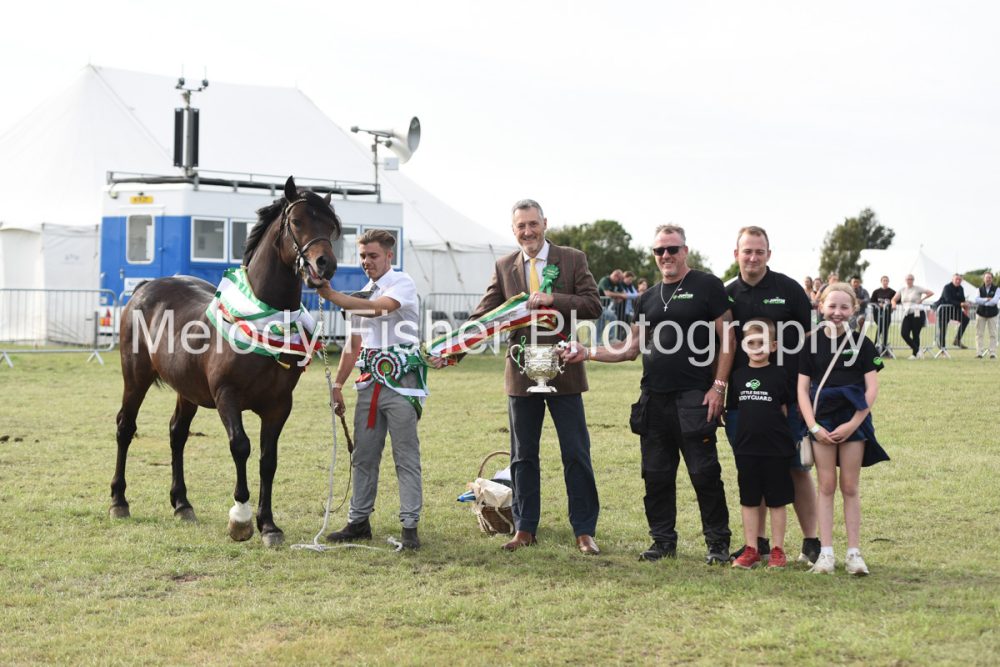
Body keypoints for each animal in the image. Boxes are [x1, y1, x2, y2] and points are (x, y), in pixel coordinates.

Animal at [110, 176, 340, 547]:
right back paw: (119, 501)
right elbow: (240, 446)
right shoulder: (226, 397)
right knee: (125, 427)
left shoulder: (279, 405)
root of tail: (144, 289)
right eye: (296, 222)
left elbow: (268, 459)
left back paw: (182, 503)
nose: (325, 265)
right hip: (135, 378)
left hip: (187, 391)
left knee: (177, 434)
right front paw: (241, 520)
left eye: (331, 227)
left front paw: (268, 525)